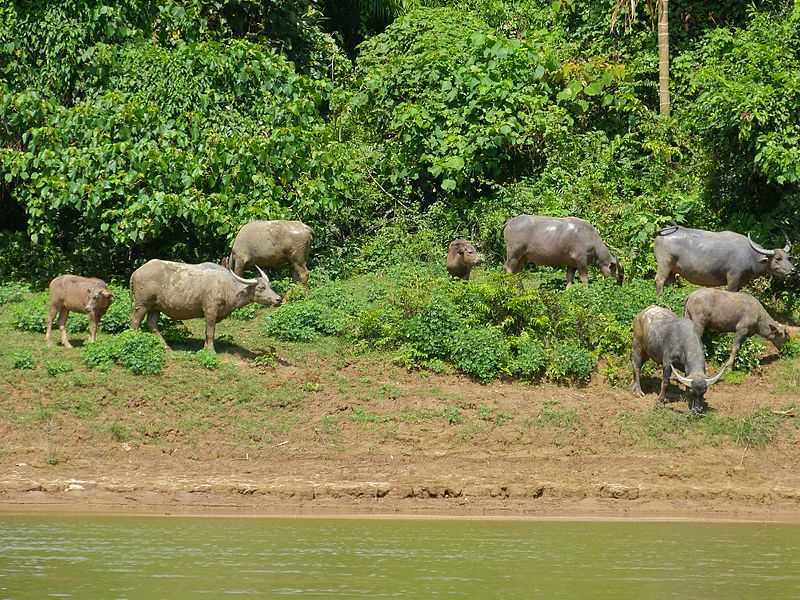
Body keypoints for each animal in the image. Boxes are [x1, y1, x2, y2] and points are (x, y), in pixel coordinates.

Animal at [129, 258, 282, 352]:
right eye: (261, 287)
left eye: (269, 285)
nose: (278, 299)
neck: (227, 287)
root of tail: (136, 272)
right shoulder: (210, 310)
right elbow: (210, 332)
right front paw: (211, 350)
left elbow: (206, 331)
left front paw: (204, 348)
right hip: (142, 304)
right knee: (135, 322)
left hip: (156, 307)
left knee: (152, 323)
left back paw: (166, 347)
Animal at [652, 224, 792, 294]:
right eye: (778, 258)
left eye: (788, 257)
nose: (793, 270)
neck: (751, 255)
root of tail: (661, 234)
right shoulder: (733, 277)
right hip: (664, 263)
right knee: (659, 280)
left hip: (673, 269)